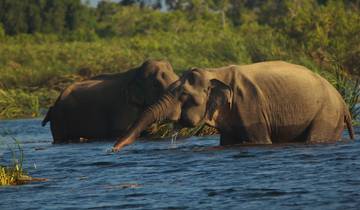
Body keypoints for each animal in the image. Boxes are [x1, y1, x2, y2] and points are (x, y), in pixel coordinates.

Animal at [112, 60, 354, 151]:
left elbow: (260, 140)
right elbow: (228, 141)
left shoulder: (250, 105)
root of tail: (343, 102)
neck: (215, 72)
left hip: (327, 115)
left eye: (184, 95)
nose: (113, 149)